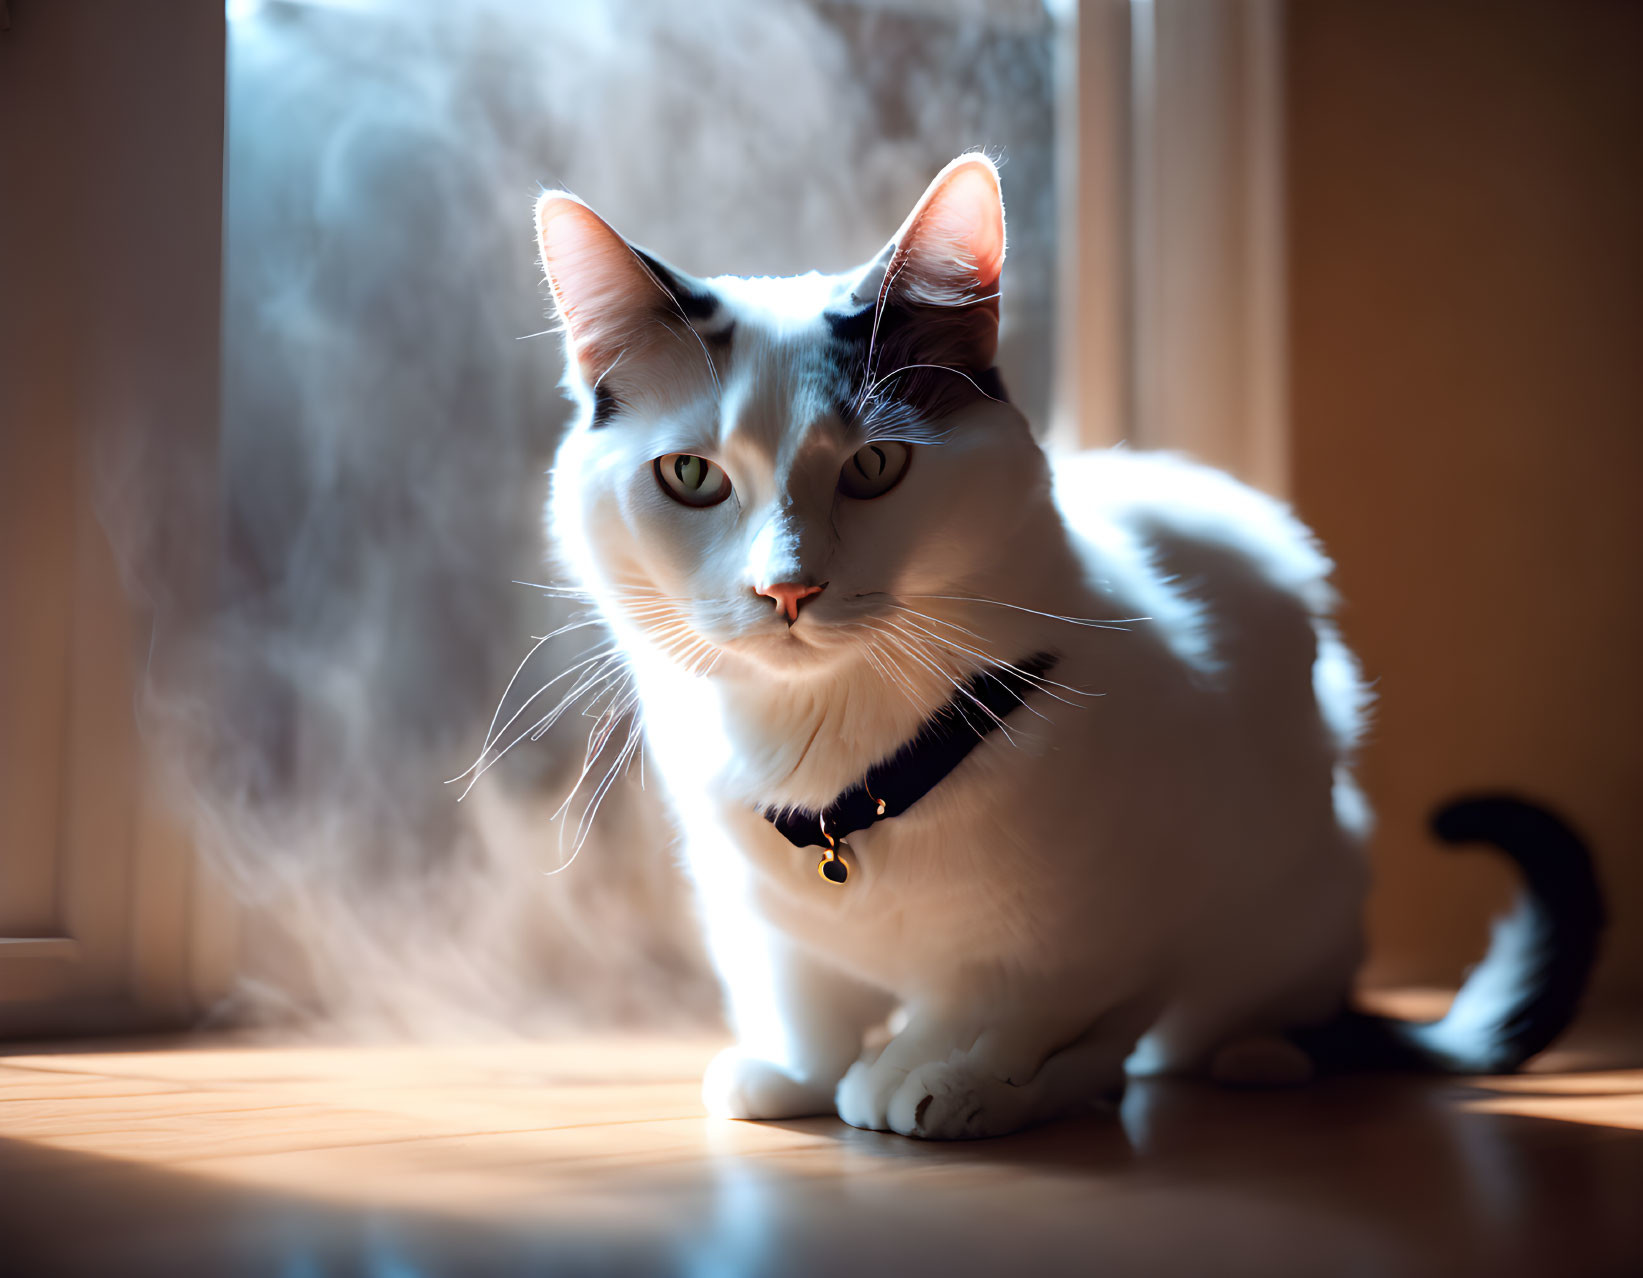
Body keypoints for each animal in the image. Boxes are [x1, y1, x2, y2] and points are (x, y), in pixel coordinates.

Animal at [529, 154, 1603, 1143]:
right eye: (691, 476)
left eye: (874, 465)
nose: (784, 587)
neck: (834, 771)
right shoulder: (753, 916)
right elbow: (799, 998)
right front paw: (791, 1074)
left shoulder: (1103, 928)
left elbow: (1001, 1003)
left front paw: (934, 1073)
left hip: (1296, 882)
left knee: (1199, 1027)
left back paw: (1232, 1059)